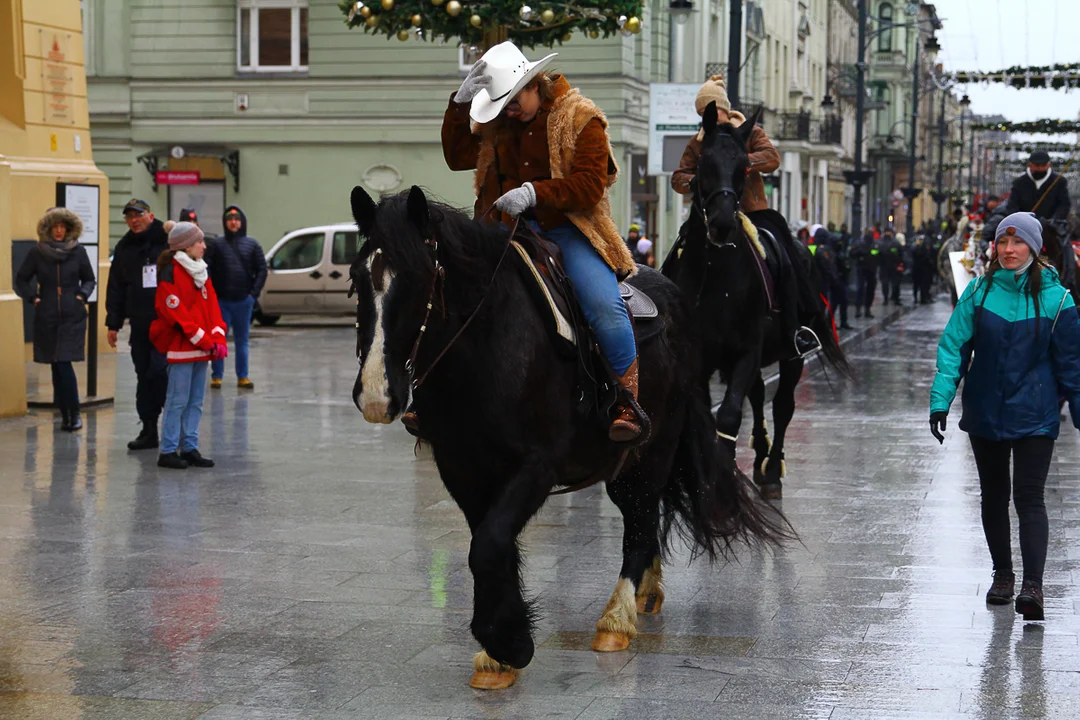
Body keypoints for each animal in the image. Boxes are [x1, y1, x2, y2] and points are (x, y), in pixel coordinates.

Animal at [349, 185, 790, 690]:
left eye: (420, 279)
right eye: (356, 279)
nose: (377, 395)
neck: (487, 348)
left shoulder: (537, 467)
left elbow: (489, 545)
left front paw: (508, 644)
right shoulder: (461, 467)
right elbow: (489, 545)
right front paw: (499, 651)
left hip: (655, 448)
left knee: (641, 521)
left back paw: (617, 618)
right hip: (620, 463)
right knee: (642, 514)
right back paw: (647, 591)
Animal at [660, 104, 846, 500]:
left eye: (745, 166)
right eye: (703, 163)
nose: (722, 223)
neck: (715, 276)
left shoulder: (746, 350)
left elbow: (730, 415)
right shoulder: (703, 360)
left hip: (790, 354)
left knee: (782, 405)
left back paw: (772, 469)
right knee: (759, 396)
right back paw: (760, 455)